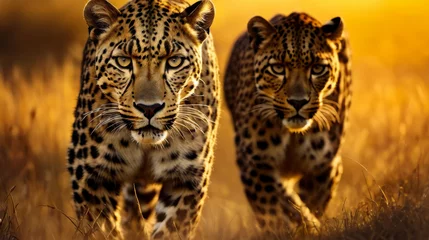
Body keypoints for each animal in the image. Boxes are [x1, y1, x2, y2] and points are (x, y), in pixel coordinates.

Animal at [67, 0, 221, 239]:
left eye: (174, 61)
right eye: (123, 61)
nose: (149, 108)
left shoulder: (187, 178)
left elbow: (172, 229)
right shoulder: (91, 175)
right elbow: (101, 230)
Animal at [222, 12, 350, 233]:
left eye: (317, 68)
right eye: (277, 68)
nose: (298, 102)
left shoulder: (325, 164)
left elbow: (311, 201)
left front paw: (309, 226)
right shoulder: (254, 162)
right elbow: (272, 208)